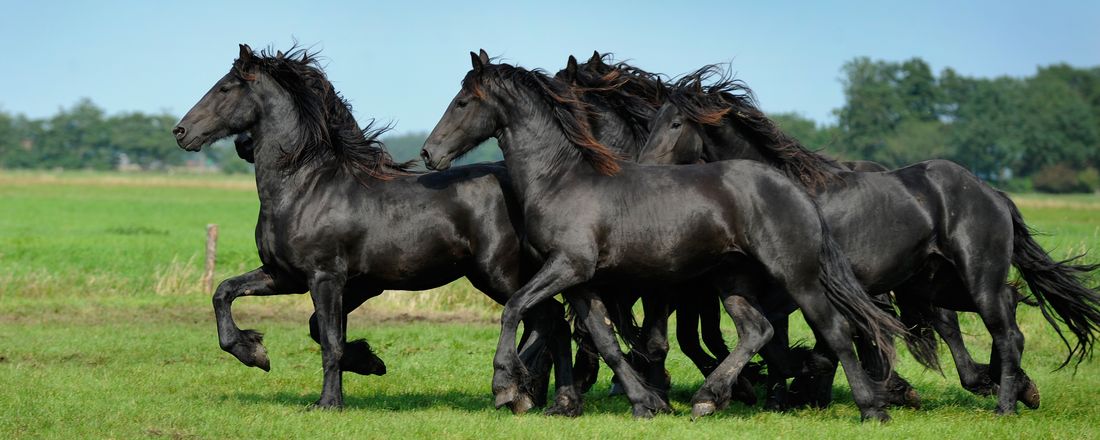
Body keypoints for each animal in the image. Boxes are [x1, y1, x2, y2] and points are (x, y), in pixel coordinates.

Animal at [170, 44, 576, 413]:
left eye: (225, 88)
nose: (180, 131)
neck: (306, 187)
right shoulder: (287, 275)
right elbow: (226, 293)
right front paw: (256, 352)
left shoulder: (325, 277)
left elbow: (329, 340)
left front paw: (328, 402)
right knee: (553, 322)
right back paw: (551, 401)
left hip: (498, 274)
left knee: (545, 317)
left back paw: (517, 391)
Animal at [420, 51, 902, 422]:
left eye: (463, 102)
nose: (428, 153)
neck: (561, 180)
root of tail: (792, 187)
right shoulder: (581, 282)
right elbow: (606, 342)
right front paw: (644, 402)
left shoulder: (569, 266)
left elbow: (515, 308)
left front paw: (505, 386)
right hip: (732, 282)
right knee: (757, 330)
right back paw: (710, 399)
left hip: (796, 276)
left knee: (835, 330)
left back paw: (871, 408)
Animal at [642, 64, 1100, 413]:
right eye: (652, 123)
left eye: (676, 123)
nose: (644, 170)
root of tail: (992, 193)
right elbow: (779, 343)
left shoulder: (797, 289)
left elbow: (800, 342)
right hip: (937, 283)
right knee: (1006, 312)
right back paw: (1019, 388)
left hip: (975, 277)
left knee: (1004, 329)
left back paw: (1005, 403)